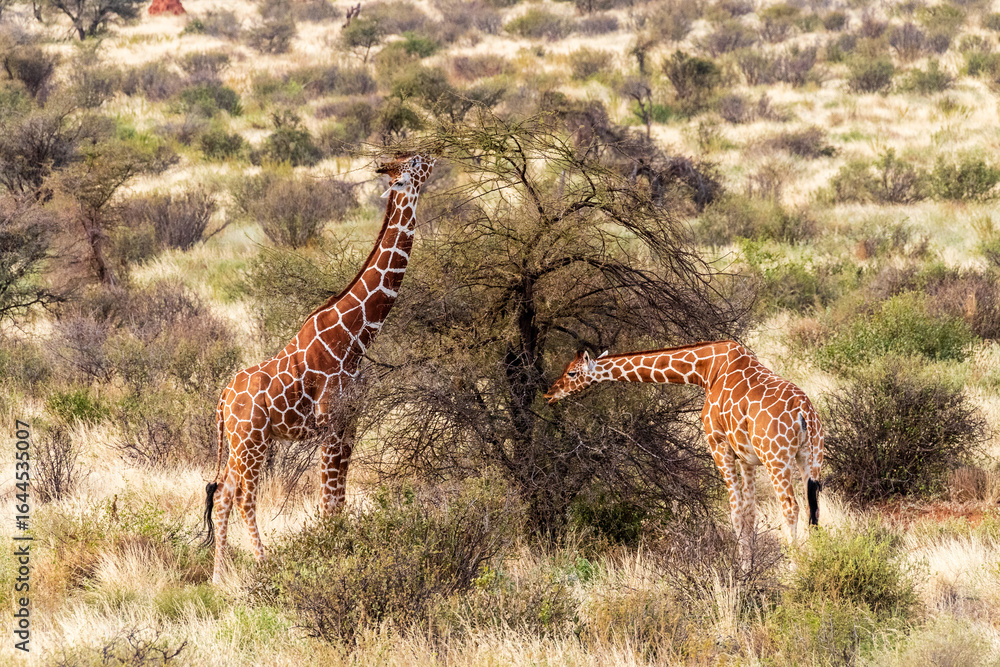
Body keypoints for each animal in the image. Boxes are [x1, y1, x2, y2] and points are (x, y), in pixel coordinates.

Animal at [202, 154, 436, 584]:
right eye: (414, 161)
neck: (355, 337)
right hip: (252, 442)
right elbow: (328, 501)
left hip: (242, 443)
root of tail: (223, 400)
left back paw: (219, 577)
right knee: (242, 497)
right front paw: (329, 557)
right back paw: (263, 566)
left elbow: (338, 499)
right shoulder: (330, 423)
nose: (436, 154)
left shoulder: (351, 421)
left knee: (223, 494)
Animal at [544, 340, 824, 544]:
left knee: (791, 507)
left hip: (776, 458)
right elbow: (749, 513)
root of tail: (804, 411)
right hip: (810, 457)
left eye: (572, 372)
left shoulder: (718, 445)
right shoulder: (746, 457)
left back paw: (794, 569)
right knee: (814, 507)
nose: (549, 394)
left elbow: (735, 513)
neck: (705, 370)